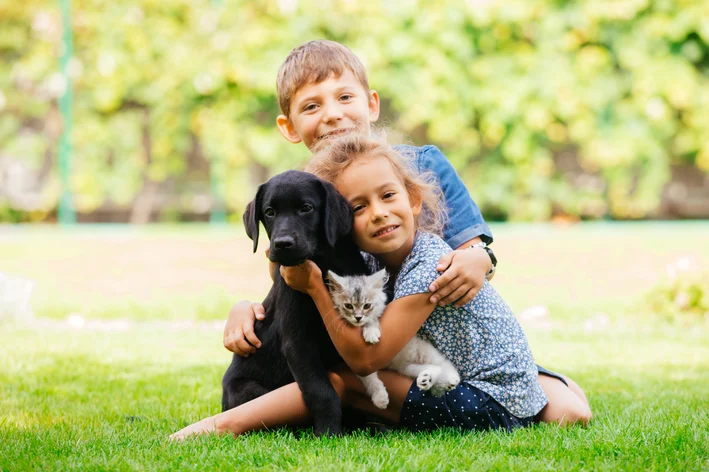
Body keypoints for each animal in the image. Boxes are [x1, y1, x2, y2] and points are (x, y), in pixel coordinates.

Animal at [221, 169, 368, 436]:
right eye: (269, 212)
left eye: (306, 208)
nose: (282, 244)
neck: (324, 263)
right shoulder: (298, 343)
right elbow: (322, 391)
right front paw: (329, 433)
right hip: (246, 390)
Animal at [324, 270, 460, 410]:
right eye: (348, 306)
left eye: (367, 306)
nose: (358, 317)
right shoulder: (358, 364)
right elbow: (370, 379)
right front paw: (380, 397)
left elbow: (373, 319)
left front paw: (371, 332)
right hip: (407, 369)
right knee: (436, 369)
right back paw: (426, 380)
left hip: (425, 352)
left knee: (446, 365)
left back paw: (450, 380)